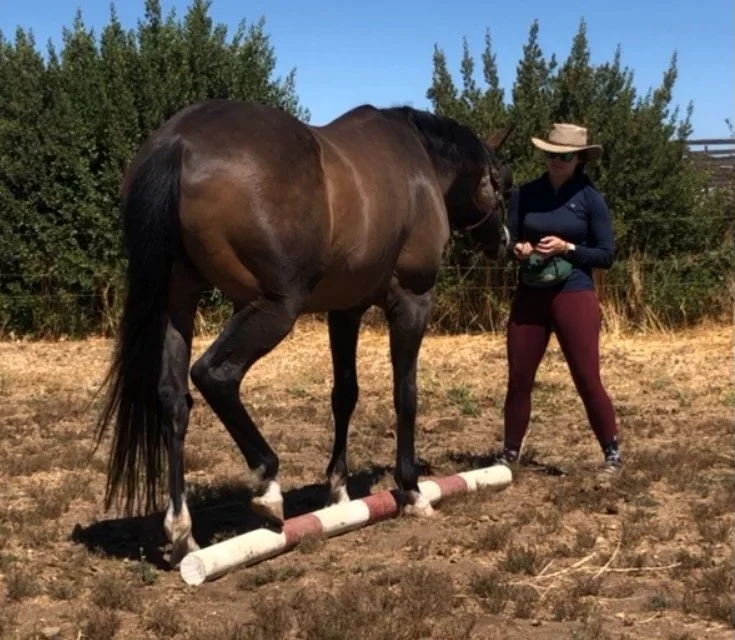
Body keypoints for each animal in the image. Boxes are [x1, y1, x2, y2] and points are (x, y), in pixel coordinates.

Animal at [93, 98, 514, 567]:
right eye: (501, 182)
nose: (505, 241)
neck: (420, 164)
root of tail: (178, 141)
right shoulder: (412, 302)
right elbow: (406, 394)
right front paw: (412, 489)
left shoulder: (345, 311)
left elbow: (344, 394)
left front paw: (338, 490)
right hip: (273, 308)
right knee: (214, 376)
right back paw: (267, 484)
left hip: (177, 303)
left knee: (172, 399)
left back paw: (183, 531)